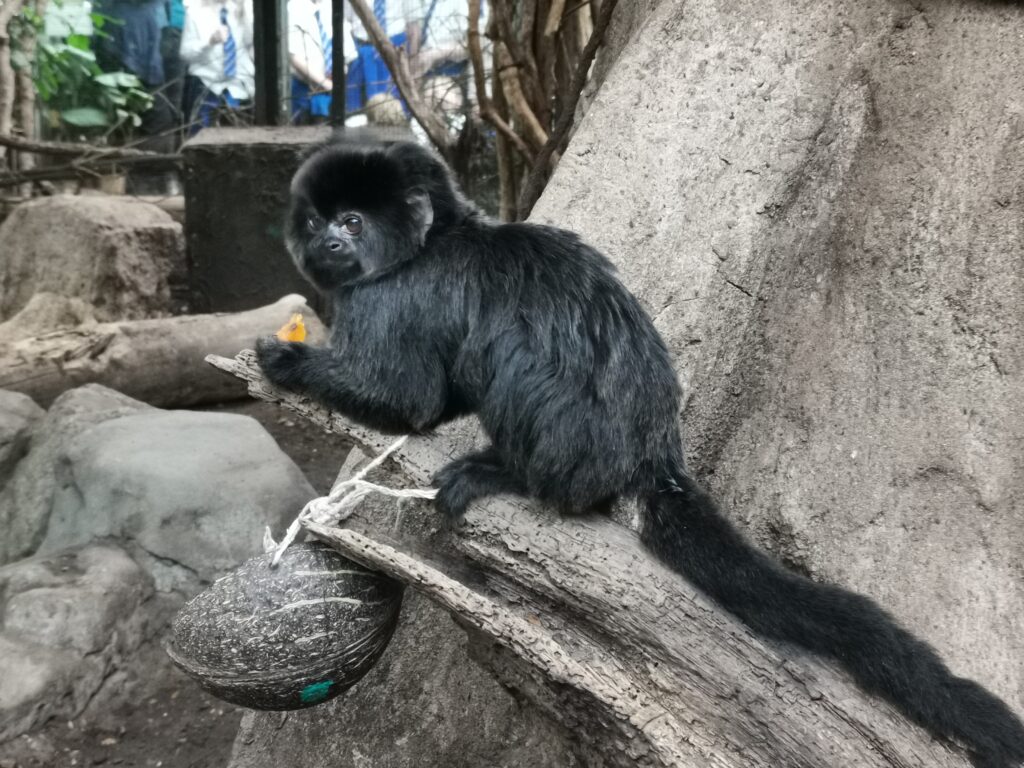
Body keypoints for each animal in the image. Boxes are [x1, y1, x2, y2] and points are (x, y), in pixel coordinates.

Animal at [256, 139, 1024, 768]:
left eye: (353, 222)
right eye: (318, 220)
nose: (327, 242)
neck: (428, 243)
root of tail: (652, 454)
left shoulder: (394, 296)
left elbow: (405, 399)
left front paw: (286, 363)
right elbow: (431, 402)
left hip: (571, 445)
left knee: (519, 374)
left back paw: (510, 475)